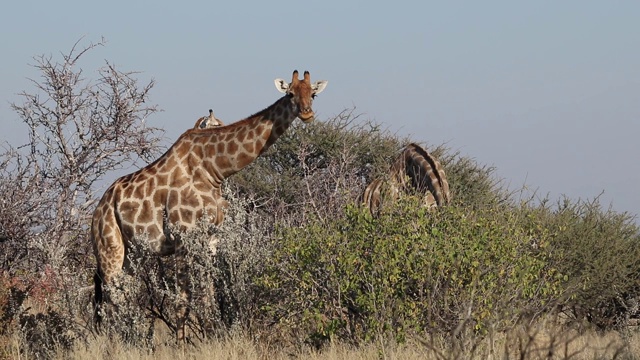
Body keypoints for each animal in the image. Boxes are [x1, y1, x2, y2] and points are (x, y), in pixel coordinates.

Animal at [90, 69, 328, 340]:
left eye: (313, 94)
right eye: (290, 94)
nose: (307, 113)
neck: (213, 170)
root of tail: (98, 210)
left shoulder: (211, 239)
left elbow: (210, 295)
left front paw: (211, 336)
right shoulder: (183, 237)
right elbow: (183, 300)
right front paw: (184, 343)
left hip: (132, 253)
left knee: (122, 296)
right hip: (109, 247)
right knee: (111, 299)